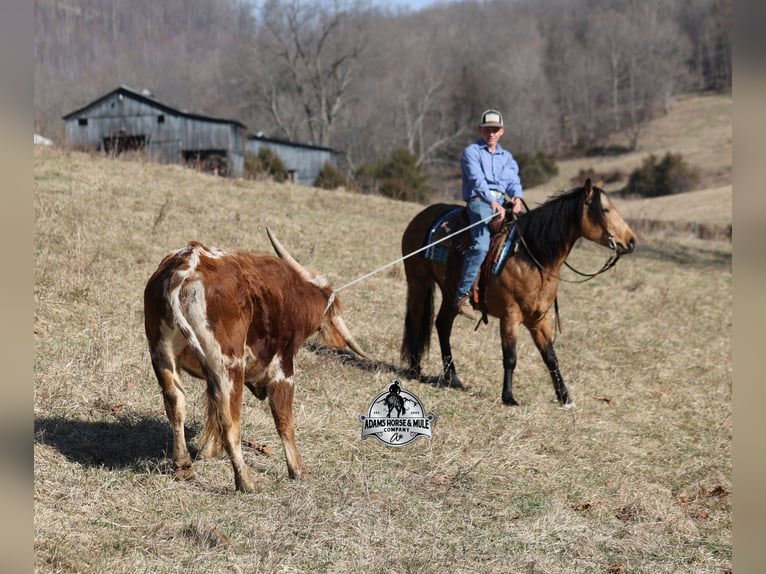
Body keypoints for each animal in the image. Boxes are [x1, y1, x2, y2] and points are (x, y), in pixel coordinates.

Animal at [400, 178, 635, 406]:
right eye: (605, 209)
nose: (631, 241)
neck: (532, 257)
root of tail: (421, 216)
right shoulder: (510, 315)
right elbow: (510, 357)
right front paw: (509, 397)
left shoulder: (539, 318)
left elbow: (550, 357)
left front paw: (565, 397)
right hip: (418, 281)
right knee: (416, 318)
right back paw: (415, 370)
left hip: (451, 295)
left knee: (442, 325)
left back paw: (453, 378)